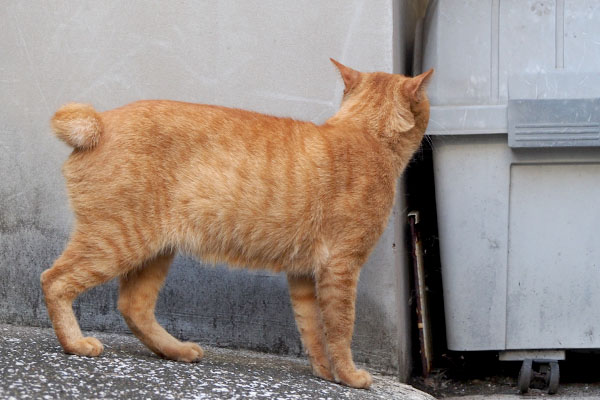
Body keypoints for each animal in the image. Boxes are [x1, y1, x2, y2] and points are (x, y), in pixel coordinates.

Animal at [42, 61, 434, 390]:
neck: (366, 133)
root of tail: (100, 121)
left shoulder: (303, 275)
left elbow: (312, 330)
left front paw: (325, 373)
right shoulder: (341, 267)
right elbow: (340, 328)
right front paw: (350, 377)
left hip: (154, 251)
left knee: (133, 306)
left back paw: (176, 350)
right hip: (117, 241)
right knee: (54, 280)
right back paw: (75, 343)